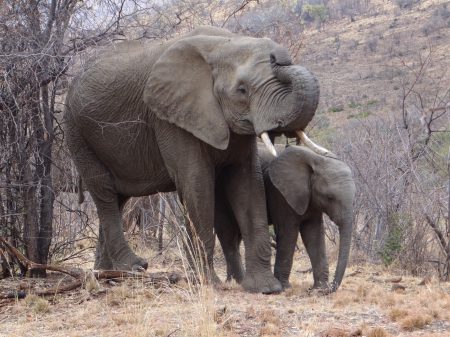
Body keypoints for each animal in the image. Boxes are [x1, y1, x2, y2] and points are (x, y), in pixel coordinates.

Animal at [64, 25, 320, 292]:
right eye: (242, 90)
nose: (277, 56)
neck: (223, 44)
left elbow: (248, 184)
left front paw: (265, 288)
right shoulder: (170, 118)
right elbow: (197, 182)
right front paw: (209, 283)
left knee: (118, 198)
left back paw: (107, 273)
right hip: (77, 130)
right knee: (103, 192)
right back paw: (134, 267)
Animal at [214, 142, 356, 292]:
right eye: (329, 198)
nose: (329, 289)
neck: (317, 158)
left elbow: (314, 234)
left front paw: (320, 289)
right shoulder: (280, 194)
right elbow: (288, 232)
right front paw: (285, 287)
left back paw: (232, 281)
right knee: (227, 231)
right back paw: (235, 282)